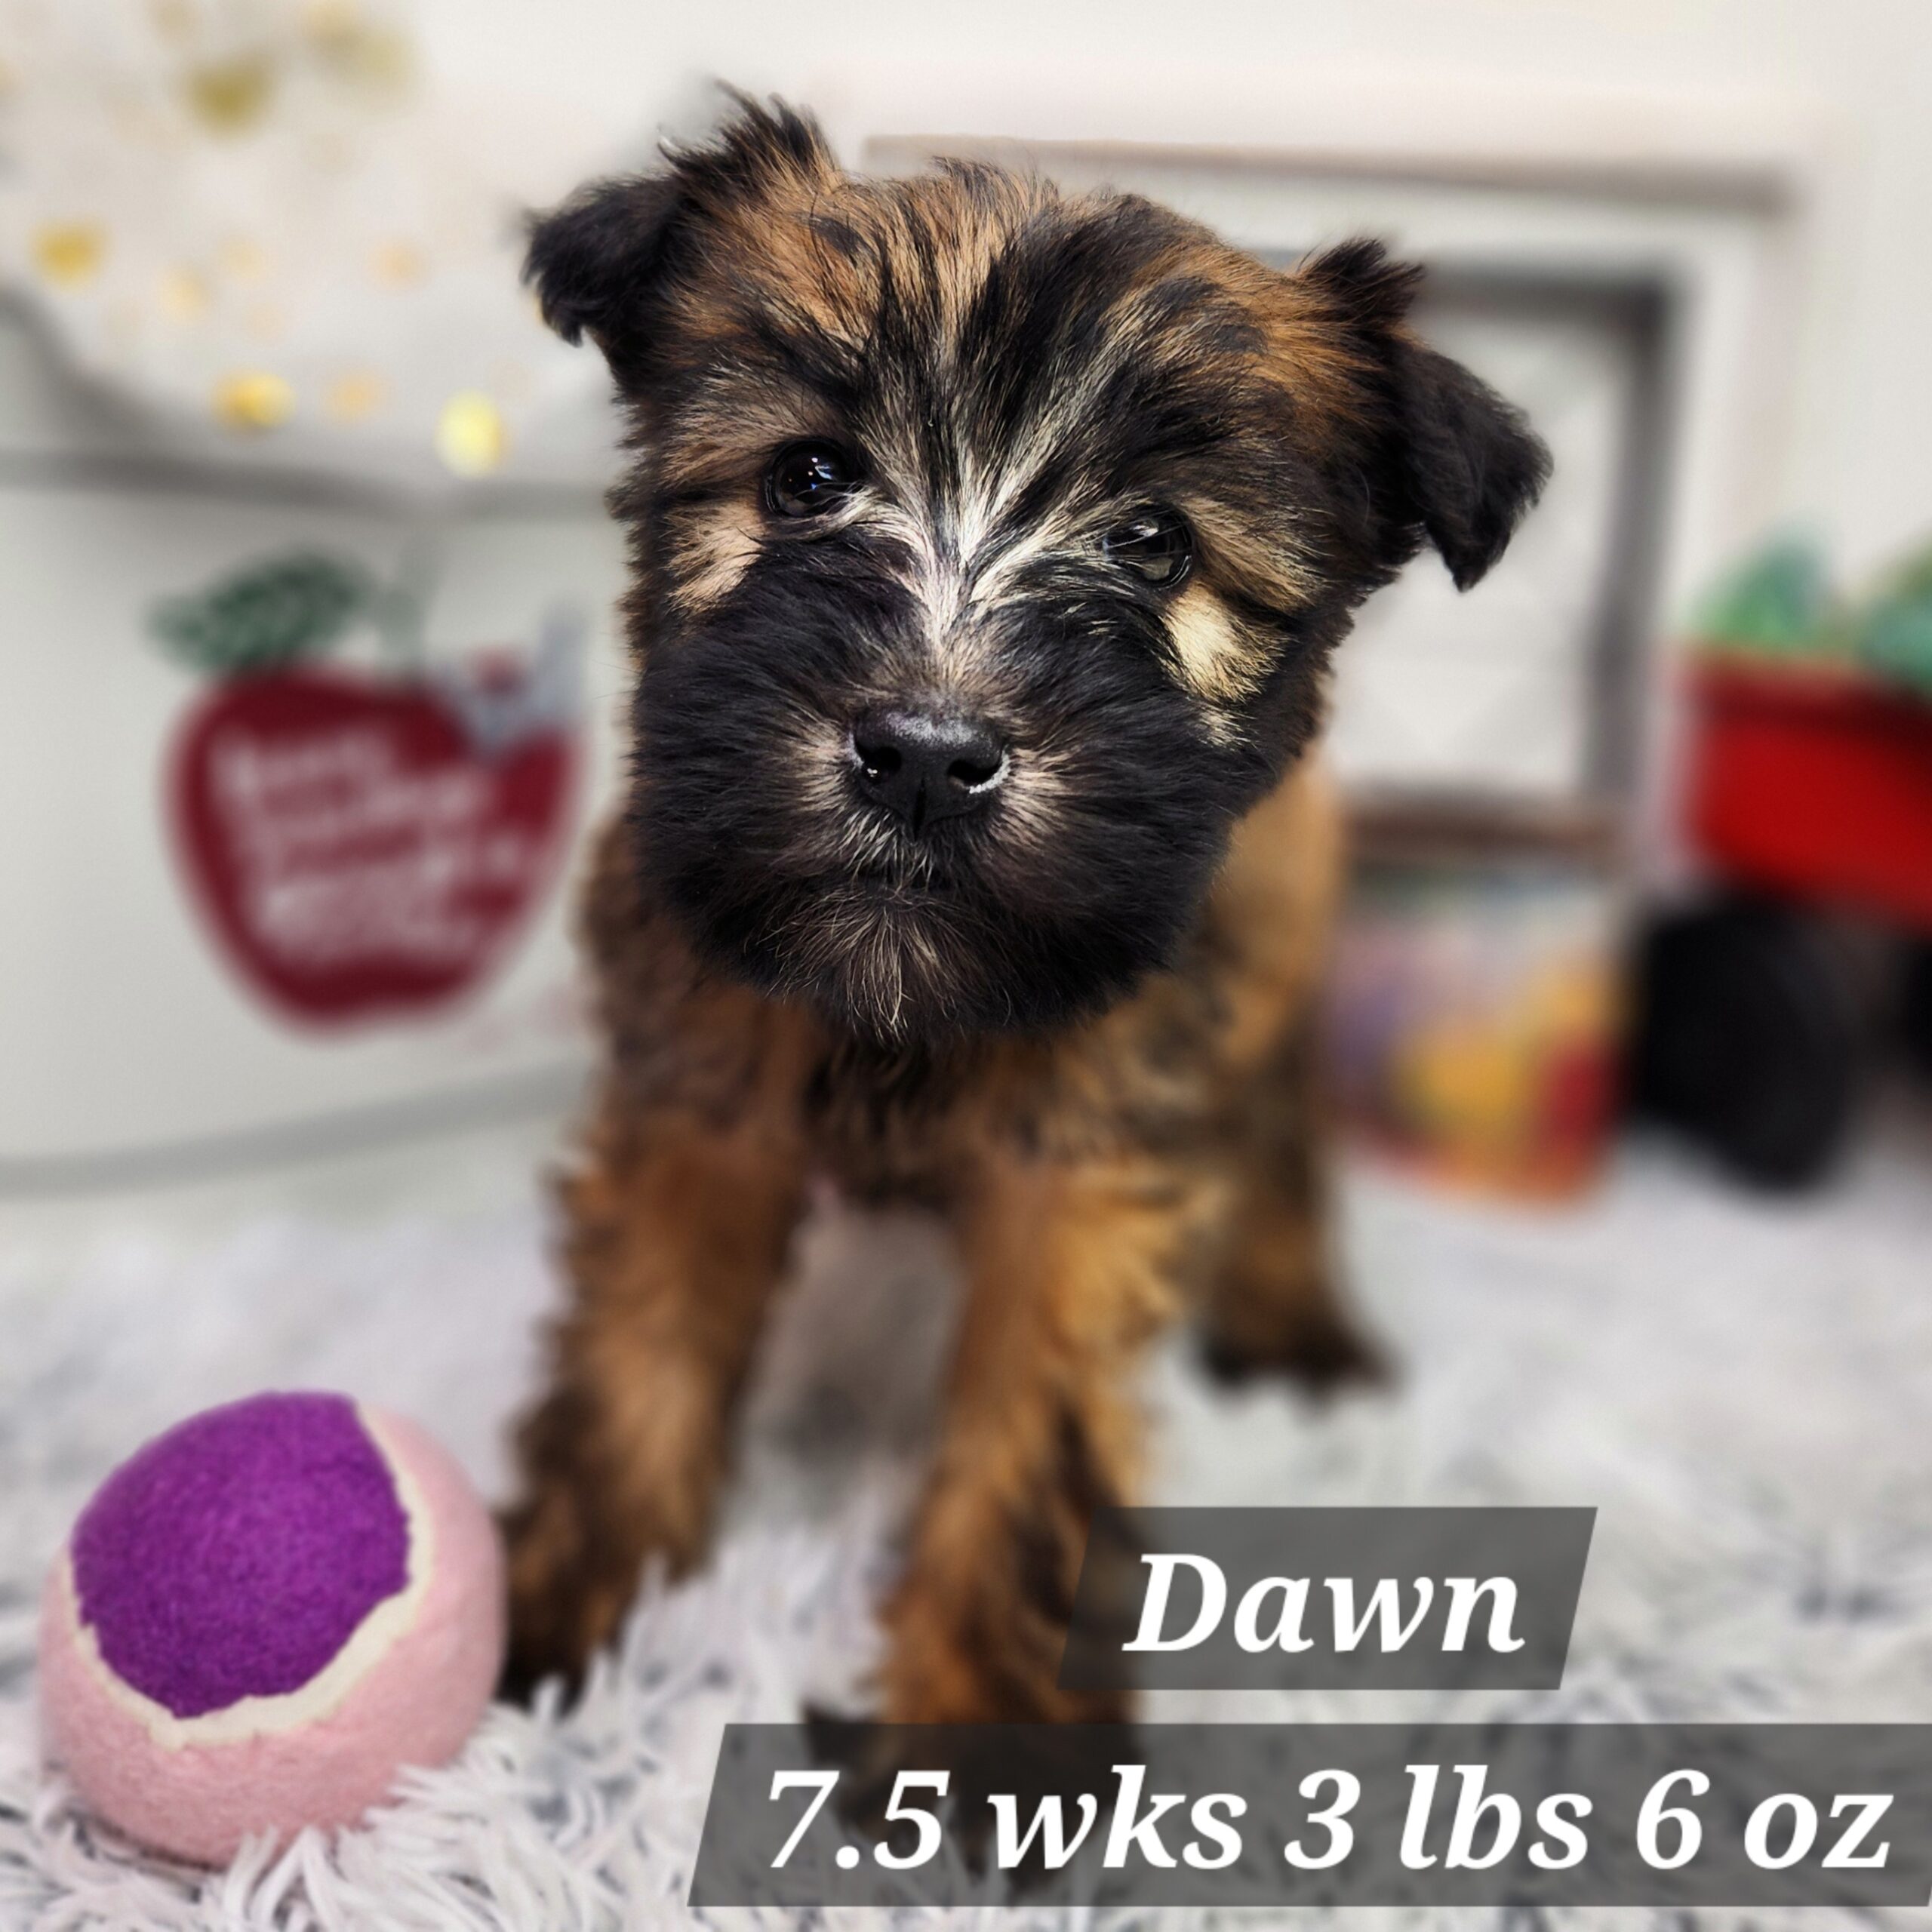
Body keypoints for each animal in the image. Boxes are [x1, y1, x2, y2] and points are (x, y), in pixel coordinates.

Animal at [502, 97, 1553, 1723]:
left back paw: (1298, 1324)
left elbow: (1030, 1447)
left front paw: (976, 1737)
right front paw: (560, 1625)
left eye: (1154, 546)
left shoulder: (1089, 1169)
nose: (928, 757)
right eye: (807, 479)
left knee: (1282, 1146)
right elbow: (637, 1353)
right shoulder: (697, 1093)